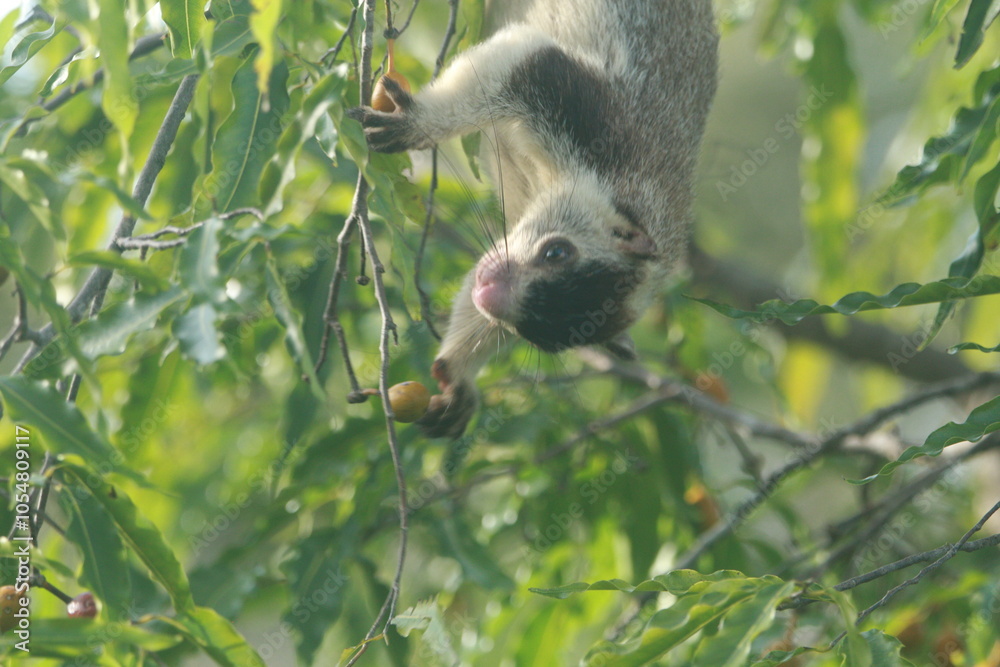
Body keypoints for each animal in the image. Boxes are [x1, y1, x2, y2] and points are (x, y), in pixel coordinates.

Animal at [350, 0, 719, 438]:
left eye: (540, 337)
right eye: (556, 251)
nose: (491, 293)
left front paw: (458, 378)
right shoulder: (593, 116)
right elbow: (522, 61)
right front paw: (416, 123)